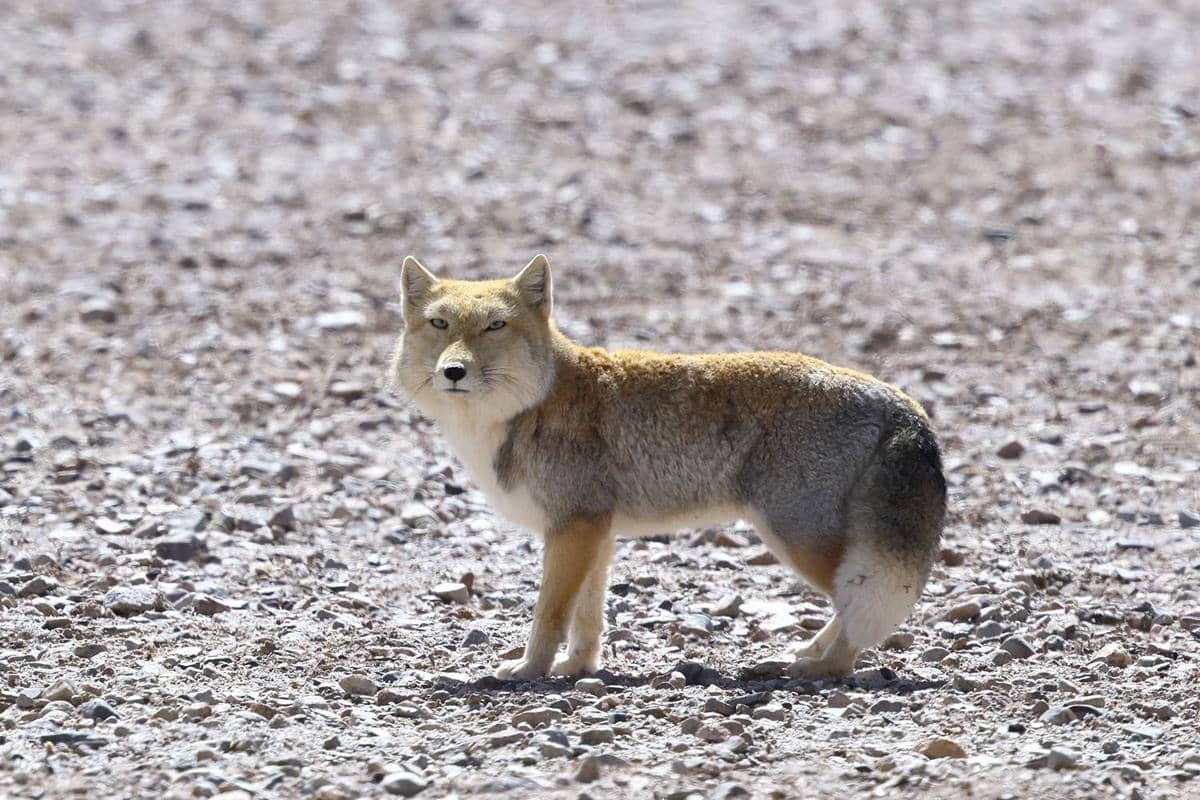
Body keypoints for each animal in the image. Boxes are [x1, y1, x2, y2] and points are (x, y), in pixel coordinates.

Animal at [389, 254, 946, 681]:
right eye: (440, 324)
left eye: (495, 326)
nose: (453, 371)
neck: (530, 407)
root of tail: (903, 403)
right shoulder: (594, 533)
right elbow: (587, 618)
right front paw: (577, 669)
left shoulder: (572, 528)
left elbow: (549, 613)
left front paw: (530, 671)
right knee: (854, 603)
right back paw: (810, 653)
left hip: (797, 538)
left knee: (857, 604)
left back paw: (826, 667)